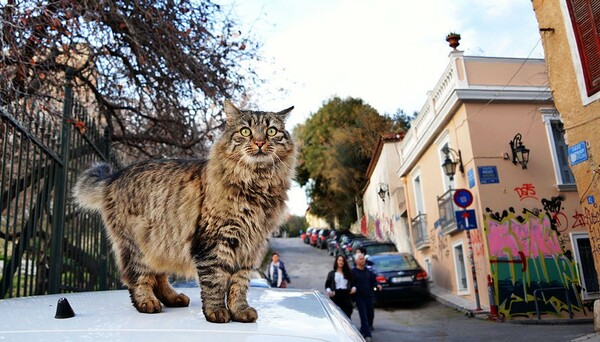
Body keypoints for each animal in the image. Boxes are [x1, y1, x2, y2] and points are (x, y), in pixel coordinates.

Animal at [72, 99, 296, 324]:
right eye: (246, 131)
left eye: (271, 131)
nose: (259, 143)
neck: (256, 184)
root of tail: (115, 176)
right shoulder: (214, 241)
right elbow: (215, 282)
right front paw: (216, 311)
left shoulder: (250, 245)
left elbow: (239, 284)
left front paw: (240, 310)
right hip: (138, 243)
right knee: (138, 278)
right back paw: (148, 302)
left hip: (160, 241)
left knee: (159, 277)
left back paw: (173, 298)